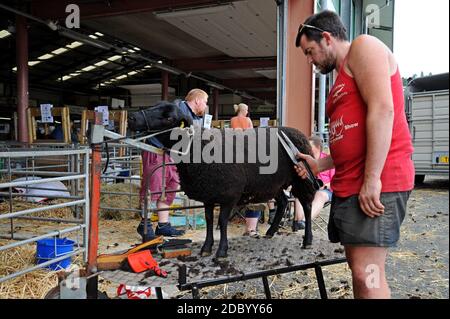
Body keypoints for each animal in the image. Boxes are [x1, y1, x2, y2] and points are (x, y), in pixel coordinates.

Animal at [127, 102, 316, 260]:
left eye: (168, 118)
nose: (132, 118)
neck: (197, 148)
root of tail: (299, 132)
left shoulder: (229, 194)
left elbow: (223, 221)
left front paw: (221, 251)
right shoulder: (209, 195)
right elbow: (210, 220)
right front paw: (206, 247)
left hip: (302, 179)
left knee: (306, 206)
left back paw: (307, 240)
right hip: (273, 184)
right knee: (283, 202)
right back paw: (270, 231)